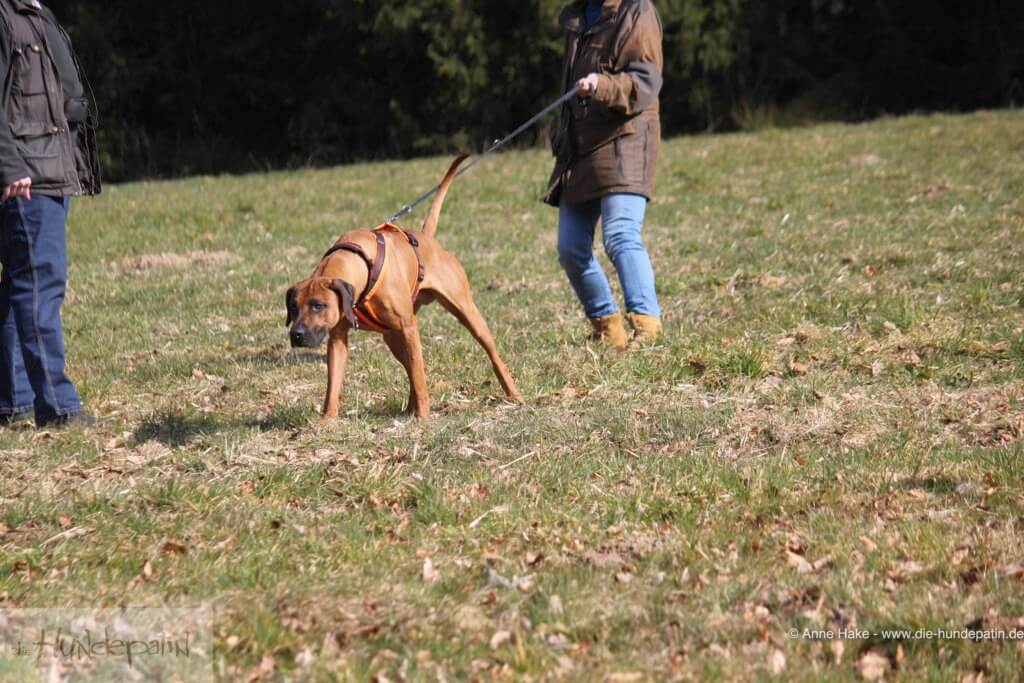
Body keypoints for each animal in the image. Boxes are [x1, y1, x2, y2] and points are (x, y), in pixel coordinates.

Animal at [286, 156, 520, 419]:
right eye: (293, 308)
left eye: (318, 305)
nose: (296, 335)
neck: (360, 265)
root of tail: (429, 239)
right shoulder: (336, 337)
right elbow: (333, 384)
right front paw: (328, 419)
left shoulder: (409, 328)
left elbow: (419, 375)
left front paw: (424, 417)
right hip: (393, 336)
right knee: (410, 368)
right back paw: (410, 407)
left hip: (465, 313)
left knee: (486, 354)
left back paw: (513, 394)